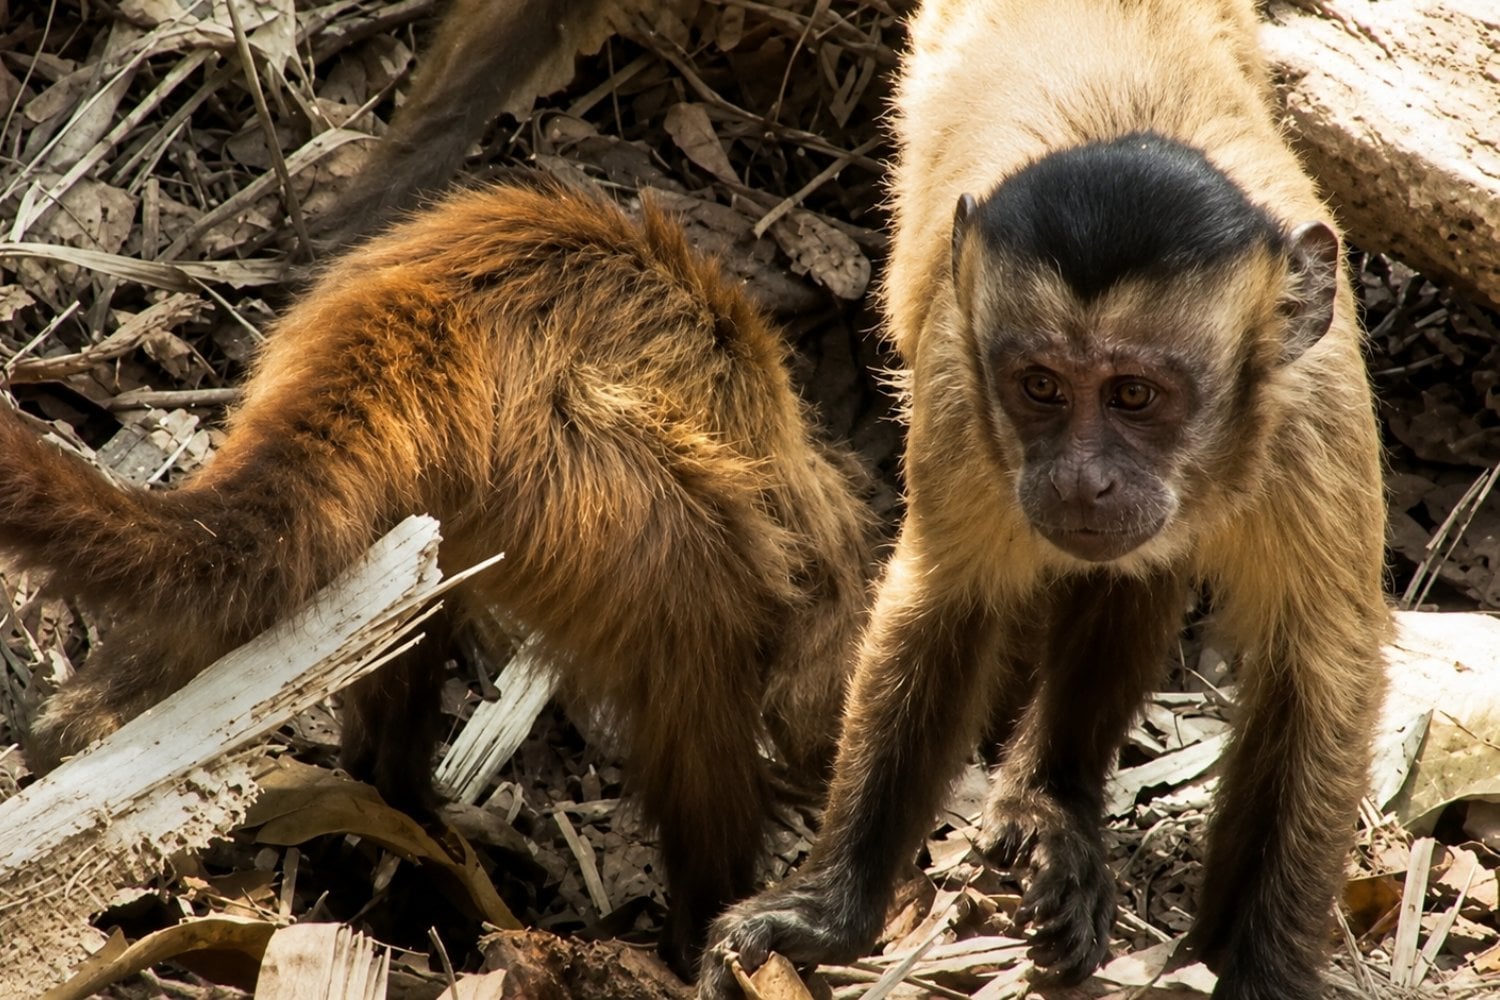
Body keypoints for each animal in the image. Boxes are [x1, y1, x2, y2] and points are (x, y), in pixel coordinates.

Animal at [700, 1, 1390, 998]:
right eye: (1041, 388)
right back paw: (1051, 811)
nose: (1077, 478)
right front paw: (830, 910)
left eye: (1134, 395)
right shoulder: (962, 380)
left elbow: (1321, 669)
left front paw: (1262, 968)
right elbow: (944, 599)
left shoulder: (1314, 415)